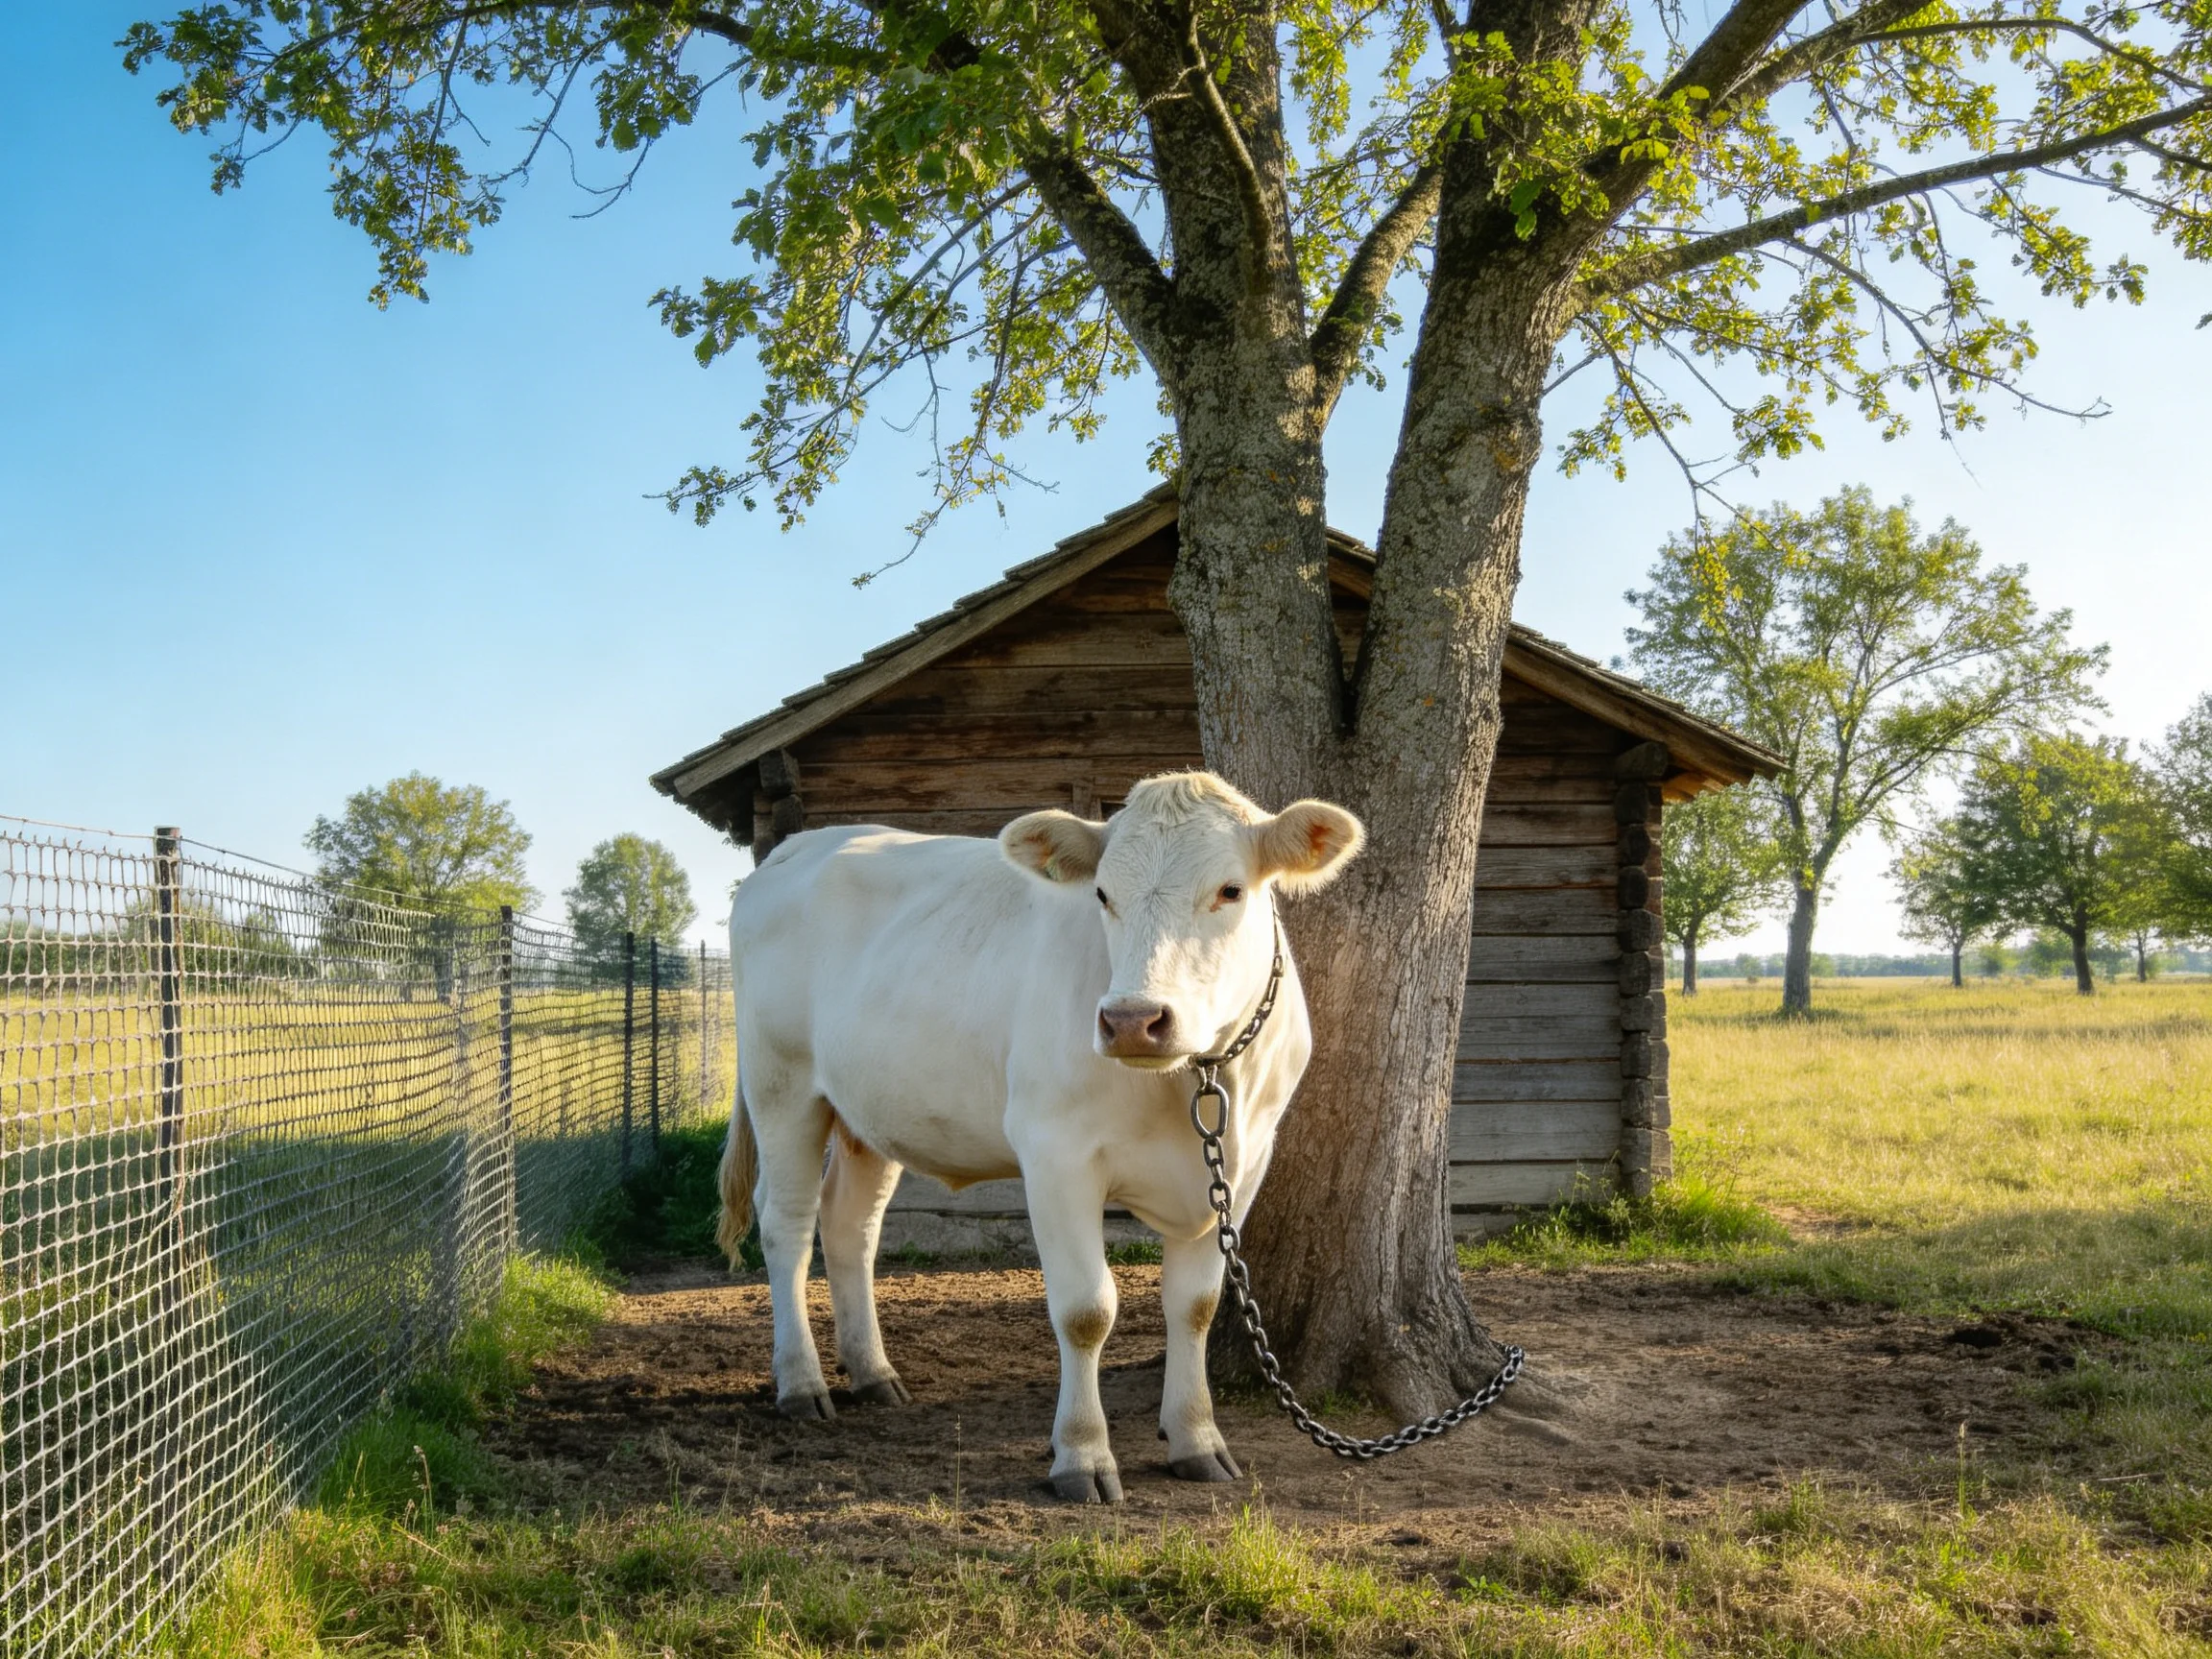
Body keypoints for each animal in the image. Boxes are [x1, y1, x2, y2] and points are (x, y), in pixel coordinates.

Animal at [714, 769, 1363, 1502]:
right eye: (1103, 894)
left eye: (1231, 890)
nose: (1133, 1020)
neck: (1192, 1079)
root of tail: (798, 845)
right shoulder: (1056, 1153)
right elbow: (1086, 1311)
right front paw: (1081, 1455)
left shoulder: (1244, 1161)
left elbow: (1194, 1305)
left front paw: (1197, 1439)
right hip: (783, 1086)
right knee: (786, 1225)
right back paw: (801, 1383)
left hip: (867, 1113)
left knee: (850, 1225)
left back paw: (875, 1374)